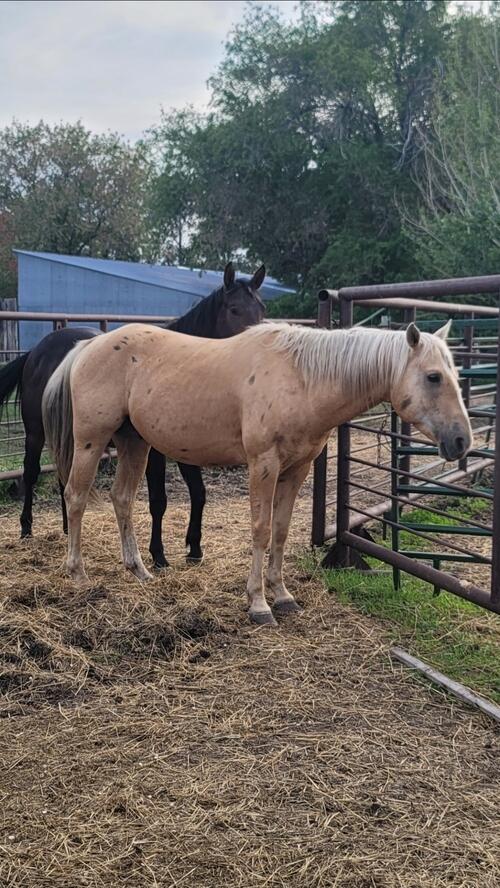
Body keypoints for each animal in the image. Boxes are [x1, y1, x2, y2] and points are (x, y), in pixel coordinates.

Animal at [0, 262, 265, 564]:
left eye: (262, 308)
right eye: (234, 309)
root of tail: (37, 350)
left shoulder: (186, 447)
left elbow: (199, 493)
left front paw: (195, 548)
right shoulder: (155, 452)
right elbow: (158, 500)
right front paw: (158, 554)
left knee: (64, 475)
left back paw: (68, 528)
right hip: (35, 433)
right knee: (31, 472)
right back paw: (26, 528)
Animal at [42, 318, 472, 626]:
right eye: (433, 376)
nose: (462, 441)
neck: (302, 378)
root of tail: (89, 346)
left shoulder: (296, 469)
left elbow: (280, 531)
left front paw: (282, 596)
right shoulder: (263, 465)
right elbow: (261, 530)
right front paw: (259, 604)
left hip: (135, 443)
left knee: (123, 499)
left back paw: (139, 570)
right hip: (91, 441)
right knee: (76, 498)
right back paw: (78, 574)